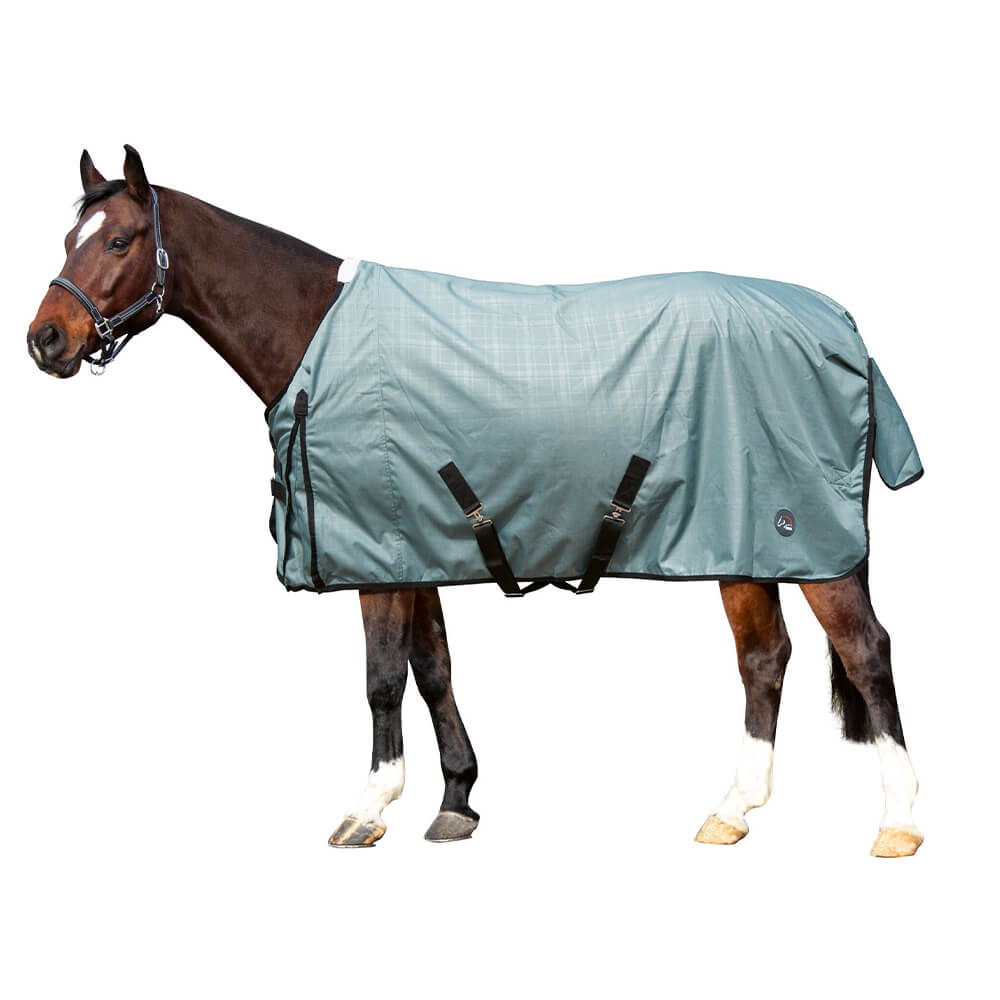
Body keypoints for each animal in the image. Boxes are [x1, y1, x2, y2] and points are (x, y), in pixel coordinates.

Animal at [26, 146, 923, 857]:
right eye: (70, 238)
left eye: (119, 239)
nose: (45, 339)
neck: (316, 338)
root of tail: (843, 326)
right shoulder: (415, 543)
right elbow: (433, 670)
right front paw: (456, 800)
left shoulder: (376, 557)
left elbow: (382, 679)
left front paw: (369, 807)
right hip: (741, 541)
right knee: (764, 658)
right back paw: (733, 810)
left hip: (807, 543)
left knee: (865, 652)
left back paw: (899, 823)